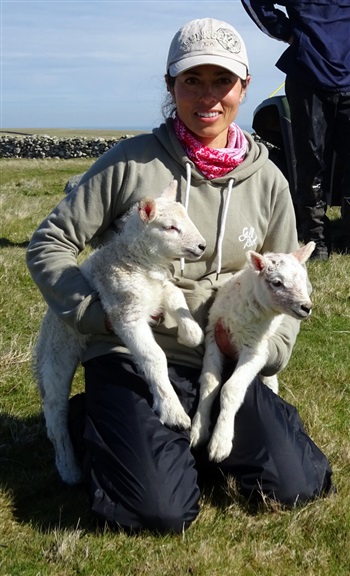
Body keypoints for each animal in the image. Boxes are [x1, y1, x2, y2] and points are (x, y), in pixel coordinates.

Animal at [33, 181, 205, 486]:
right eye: (171, 227)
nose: (202, 246)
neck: (137, 262)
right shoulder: (126, 314)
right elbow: (153, 357)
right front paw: (172, 411)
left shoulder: (158, 290)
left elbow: (175, 295)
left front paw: (191, 334)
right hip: (54, 355)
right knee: (55, 412)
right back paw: (69, 469)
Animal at [190, 242, 316, 464]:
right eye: (277, 283)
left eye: (304, 278)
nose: (306, 307)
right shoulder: (214, 336)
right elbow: (210, 382)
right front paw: (199, 430)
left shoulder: (256, 351)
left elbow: (231, 389)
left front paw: (220, 442)